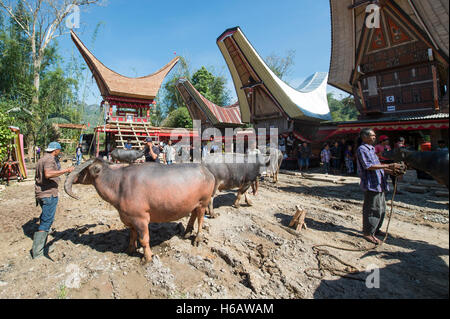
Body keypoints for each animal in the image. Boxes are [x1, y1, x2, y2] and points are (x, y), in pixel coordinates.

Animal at [64, 159, 216, 264]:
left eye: (82, 171)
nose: (70, 174)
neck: (118, 185)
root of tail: (207, 171)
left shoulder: (141, 219)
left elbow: (144, 239)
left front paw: (147, 258)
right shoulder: (130, 219)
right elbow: (132, 235)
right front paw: (130, 250)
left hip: (204, 202)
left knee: (200, 219)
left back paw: (197, 238)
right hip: (195, 204)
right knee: (194, 214)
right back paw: (187, 232)